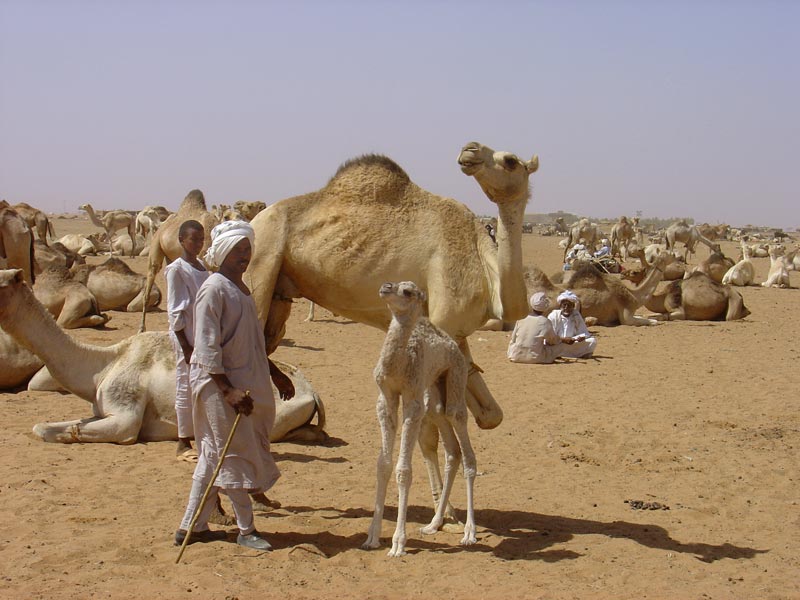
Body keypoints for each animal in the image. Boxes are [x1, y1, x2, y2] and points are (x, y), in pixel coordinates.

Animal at [0, 268, 327, 444]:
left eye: (1, 284)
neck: (102, 367)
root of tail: (312, 392)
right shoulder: (101, 409)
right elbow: (44, 427)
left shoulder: (126, 417)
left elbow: (97, 430)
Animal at [246, 142, 539, 436]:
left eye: (511, 161)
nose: (471, 150)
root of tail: (254, 220)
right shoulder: (445, 319)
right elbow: (436, 410)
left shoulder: (454, 331)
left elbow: (489, 414)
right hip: (261, 256)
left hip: (280, 292)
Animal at [363, 282, 476, 557]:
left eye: (408, 292)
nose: (385, 287)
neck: (398, 364)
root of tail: (452, 344)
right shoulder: (386, 400)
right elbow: (383, 465)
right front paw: (372, 537)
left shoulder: (412, 401)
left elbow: (403, 469)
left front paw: (398, 543)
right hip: (435, 392)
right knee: (452, 450)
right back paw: (433, 524)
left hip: (455, 377)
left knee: (466, 446)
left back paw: (469, 533)